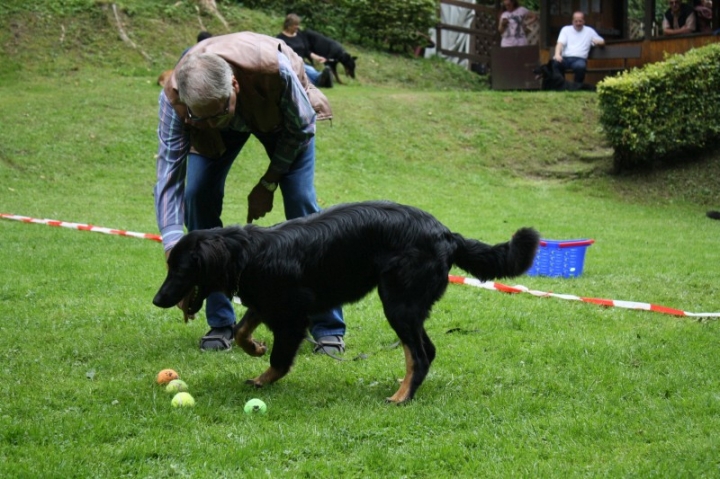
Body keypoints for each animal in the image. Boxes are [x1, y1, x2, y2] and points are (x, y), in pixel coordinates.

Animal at [153, 201, 540, 404]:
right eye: (169, 265)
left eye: (179, 269)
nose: (157, 300)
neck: (246, 253)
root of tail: (447, 235)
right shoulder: (268, 303)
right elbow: (241, 331)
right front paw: (256, 348)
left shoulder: (294, 316)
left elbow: (280, 358)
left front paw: (265, 378)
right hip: (408, 308)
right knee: (427, 350)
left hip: (397, 304)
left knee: (418, 354)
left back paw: (402, 396)